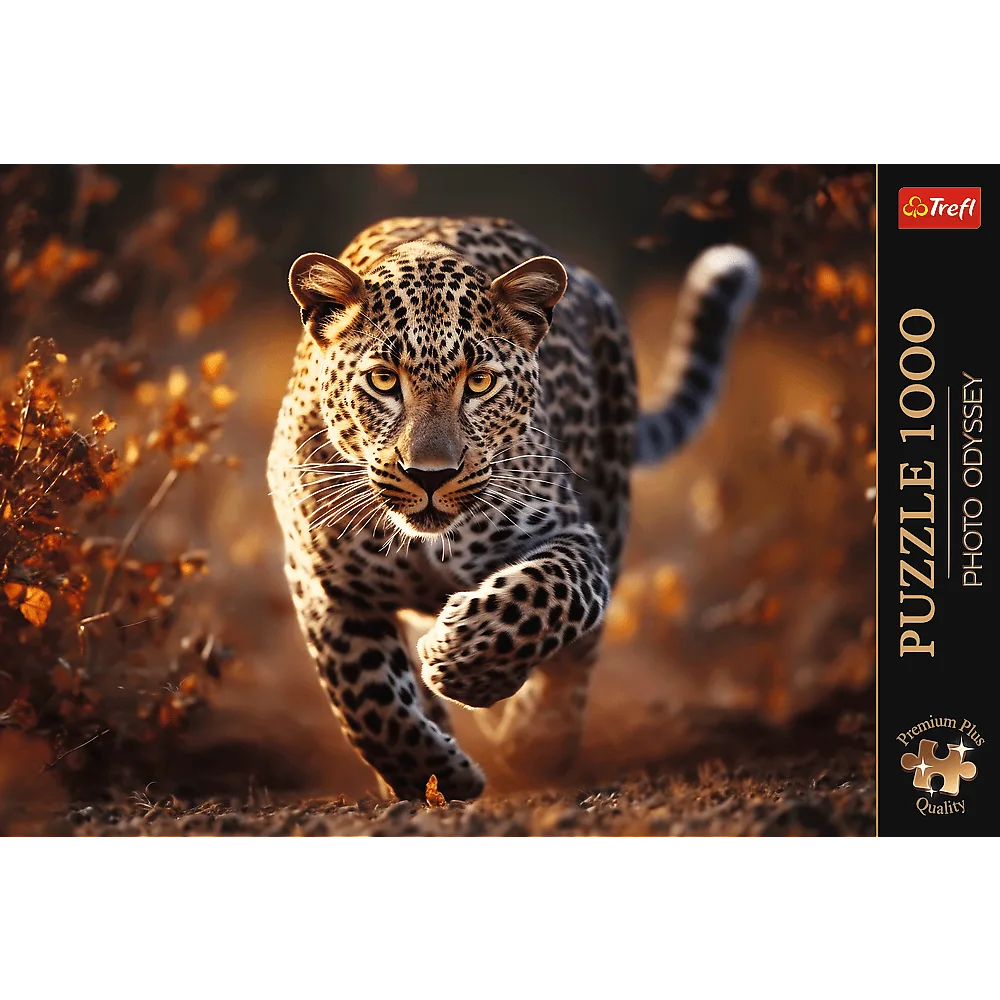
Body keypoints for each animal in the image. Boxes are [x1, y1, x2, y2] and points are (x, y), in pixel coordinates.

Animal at [267, 216, 759, 802]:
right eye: (384, 379)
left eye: (479, 382)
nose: (430, 474)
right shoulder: (324, 585)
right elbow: (366, 698)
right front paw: (433, 775)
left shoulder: (573, 536)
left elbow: (546, 595)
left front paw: (463, 661)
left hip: (611, 500)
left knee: (578, 655)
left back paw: (538, 739)